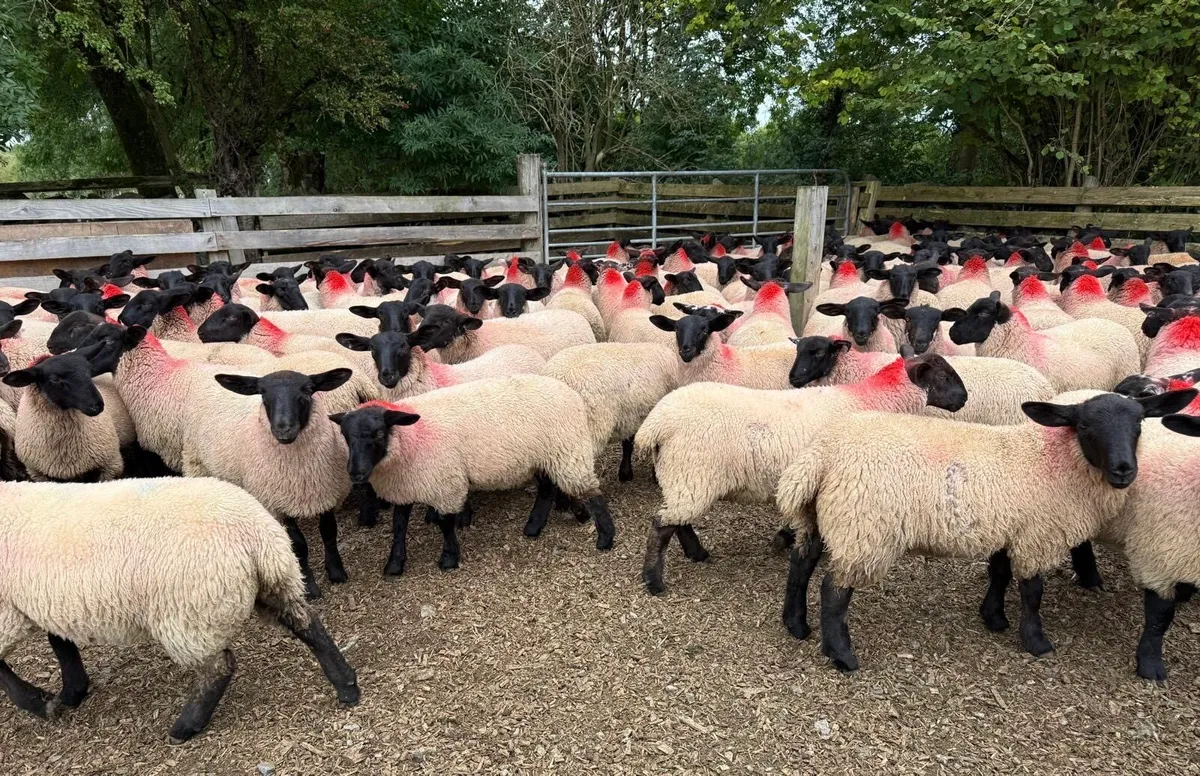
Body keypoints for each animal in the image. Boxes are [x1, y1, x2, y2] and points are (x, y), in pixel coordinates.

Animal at [0, 476, 359, 740]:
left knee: (219, 667)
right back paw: (347, 685)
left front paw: (42, 704)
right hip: (276, 584)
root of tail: (257, 534)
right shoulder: (39, 600)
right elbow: (60, 644)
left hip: (188, 611)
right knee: (307, 623)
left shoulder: (8, 611)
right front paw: (73, 691)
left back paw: (185, 726)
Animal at [330, 375, 616, 577]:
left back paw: (605, 537)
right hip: (543, 456)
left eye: (379, 433)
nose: (355, 473)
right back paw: (534, 527)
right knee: (547, 489)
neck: (407, 439)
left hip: (567, 449)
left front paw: (448, 558)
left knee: (591, 492)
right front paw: (395, 564)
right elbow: (399, 526)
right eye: (344, 435)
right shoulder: (404, 487)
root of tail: (571, 393)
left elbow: (445, 523)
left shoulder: (446, 483)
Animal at [636, 354, 968, 594]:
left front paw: (783, 538)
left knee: (678, 520)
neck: (874, 400)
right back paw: (654, 581)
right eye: (944, 376)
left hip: (683, 475)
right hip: (691, 471)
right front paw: (787, 540)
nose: (964, 398)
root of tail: (656, 423)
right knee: (662, 524)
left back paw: (697, 553)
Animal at [773, 389, 1194, 672]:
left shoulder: (1009, 529)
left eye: (1139, 423)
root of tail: (821, 456)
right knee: (834, 591)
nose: (1124, 470)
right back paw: (842, 655)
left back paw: (796, 625)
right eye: (1085, 425)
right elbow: (1032, 591)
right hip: (863, 527)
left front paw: (993, 618)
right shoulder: (1036, 535)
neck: (1050, 460)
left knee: (800, 566)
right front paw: (1036, 641)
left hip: (816, 517)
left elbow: (1000, 573)